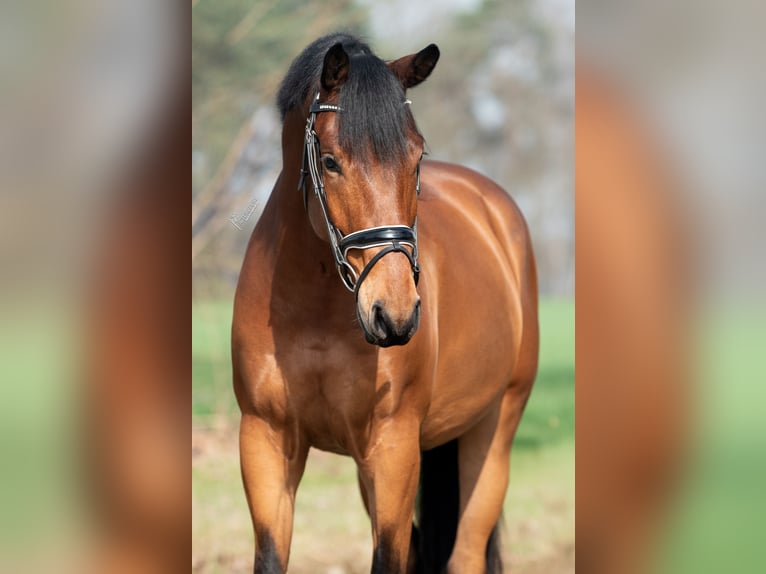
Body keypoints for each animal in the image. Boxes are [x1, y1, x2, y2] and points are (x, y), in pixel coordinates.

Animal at [232, 33, 538, 574]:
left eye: (416, 159)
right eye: (330, 161)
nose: (394, 314)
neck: (314, 313)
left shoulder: (394, 447)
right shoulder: (264, 442)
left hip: (494, 431)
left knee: (465, 551)